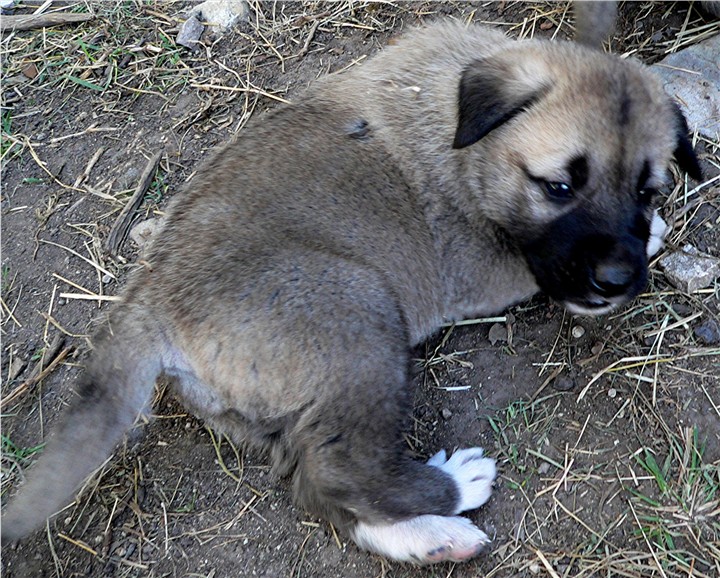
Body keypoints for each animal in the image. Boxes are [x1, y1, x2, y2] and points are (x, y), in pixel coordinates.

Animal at [1, 21, 696, 564]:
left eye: (646, 190)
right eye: (559, 187)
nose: (616, 281)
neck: (462, 128)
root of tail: (151, 298)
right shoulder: (484, 265)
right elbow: (534, 268)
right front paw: (655, 241)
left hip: (279, 406)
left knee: (318, 486)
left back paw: (433, 538)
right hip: (358, 315)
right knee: (348, 471)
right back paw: (454, 488)